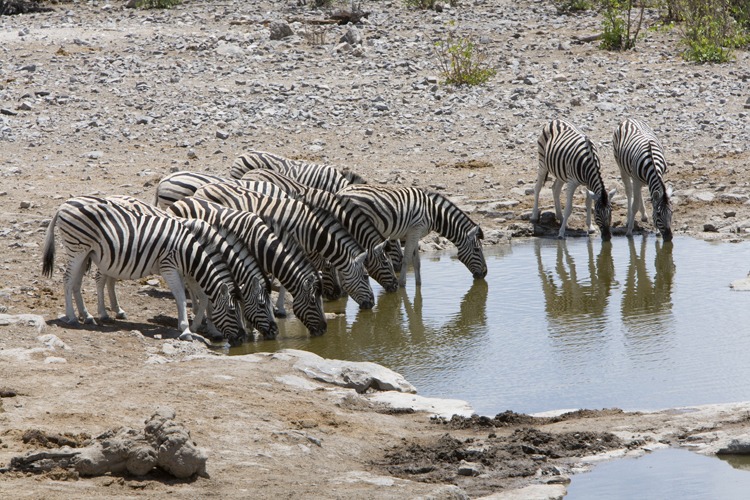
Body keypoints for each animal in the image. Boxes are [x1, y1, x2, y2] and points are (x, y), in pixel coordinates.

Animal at [67, 195, 277, 341]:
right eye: (262, 305)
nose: (275, 331)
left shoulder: (189, 270)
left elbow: (196, 297)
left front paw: (195, 324)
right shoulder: (188, 270)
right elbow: (201, 298)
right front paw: (201, 327)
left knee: (105, 279)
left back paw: (112, 311)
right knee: (98, 279)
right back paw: (100, 313)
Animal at [335, 186, 487, 287]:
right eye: (477, 250)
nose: (485, 273)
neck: (434, 214)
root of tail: (339, 192)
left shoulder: (415, 233)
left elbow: (416, 261)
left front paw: (418, 284)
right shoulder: (415, 230)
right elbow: (407, 259)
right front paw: (402, 284)